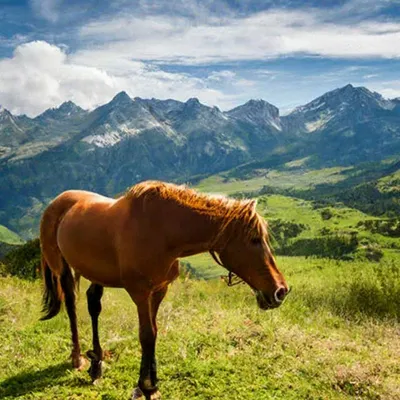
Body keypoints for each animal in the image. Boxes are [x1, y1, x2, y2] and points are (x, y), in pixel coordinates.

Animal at [39, 180, 290, 398]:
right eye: (255, 239)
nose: (281, 291)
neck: (162, 232)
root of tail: (57, 202)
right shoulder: (140, 293)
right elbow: (146, 334)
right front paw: (146, 386)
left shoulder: (160, 290)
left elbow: (154, 332)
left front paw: (151, 384)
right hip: (60, 267)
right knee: (71, 305)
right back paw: (77, 358)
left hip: (96, 273)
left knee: (93, 304)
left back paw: (97, 362)